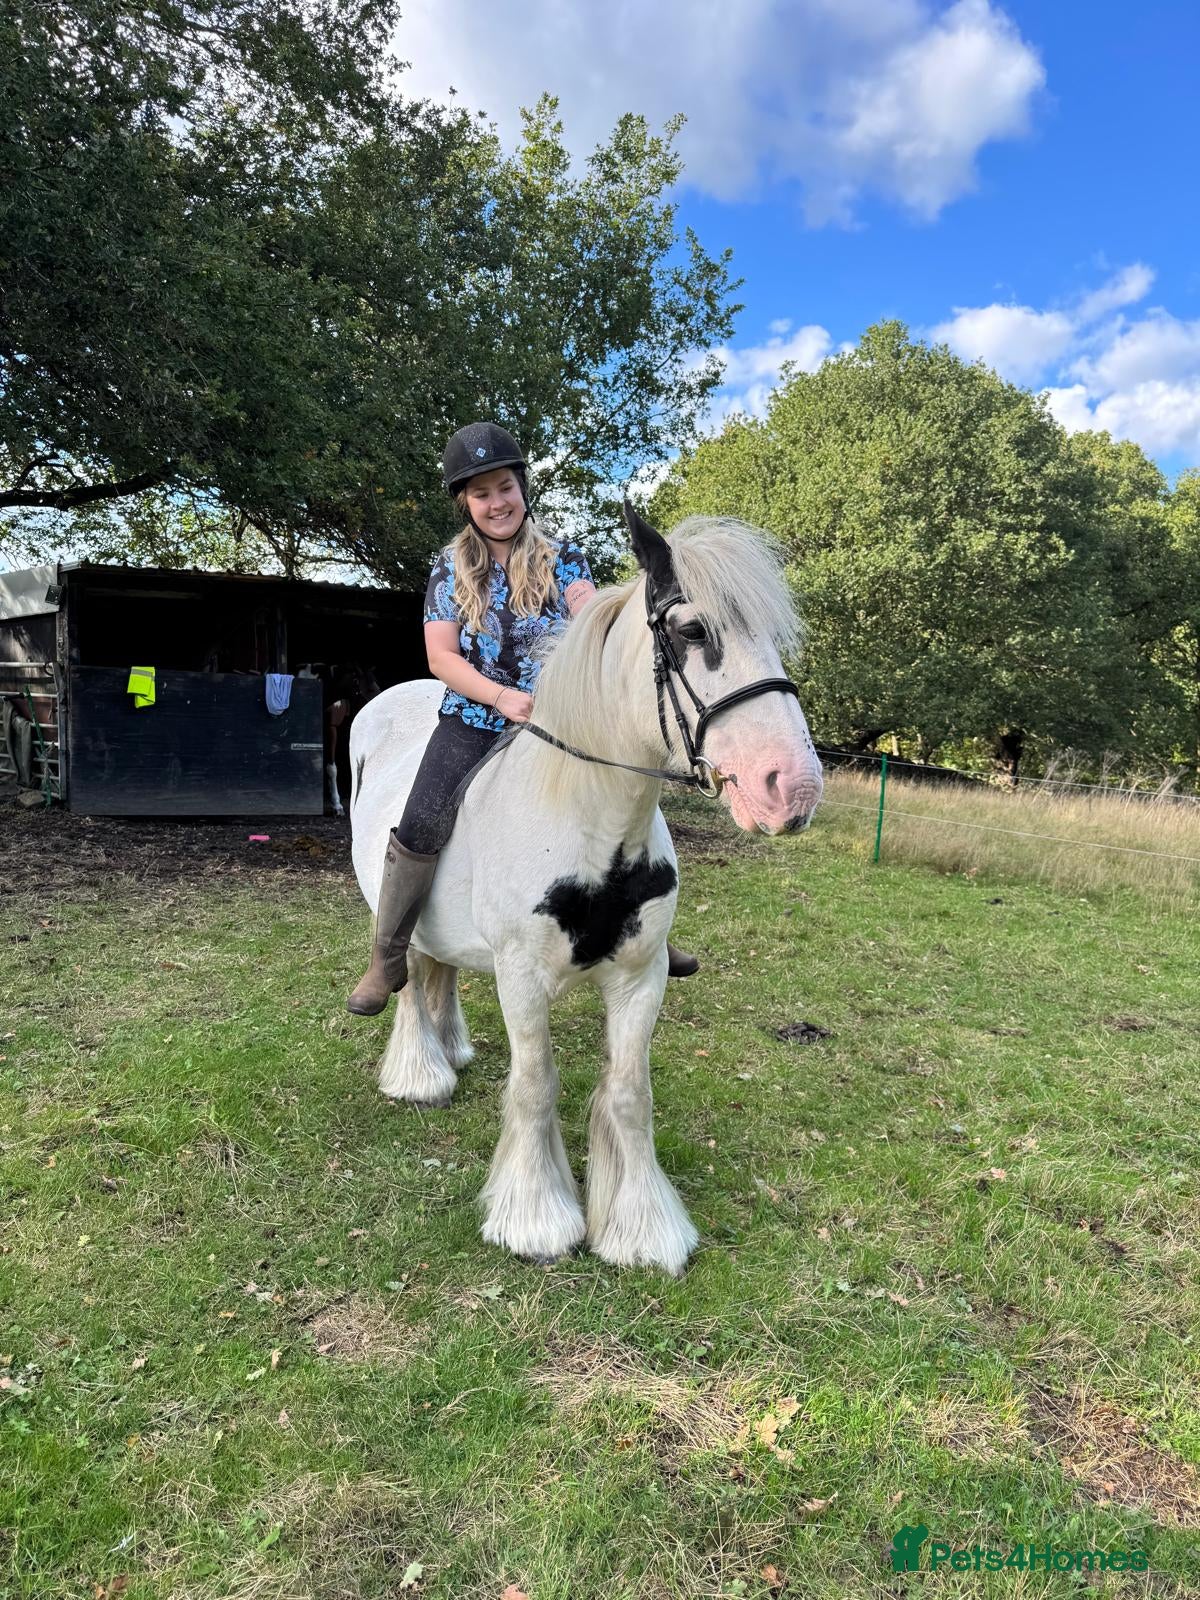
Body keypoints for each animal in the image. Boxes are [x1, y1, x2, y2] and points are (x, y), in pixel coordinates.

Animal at [348, 506, 824, 1274]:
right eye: (693, 631)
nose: (794, 789)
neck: (589, 818)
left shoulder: (641, 975)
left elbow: (629, 1093)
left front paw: (641, 1230)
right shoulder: (520, 975)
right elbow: (536, 1084)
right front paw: (536, 1220)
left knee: (438, 967)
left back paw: (449, 1051)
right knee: (410, 969)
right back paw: (421, 1073)